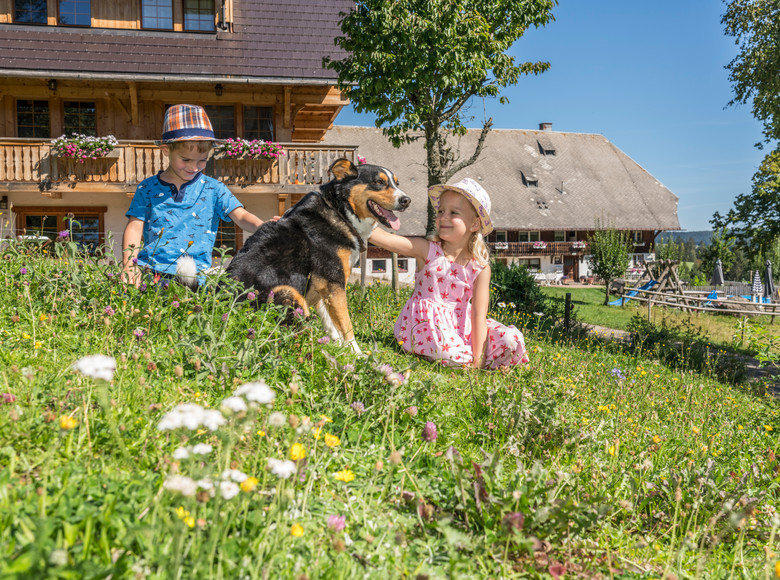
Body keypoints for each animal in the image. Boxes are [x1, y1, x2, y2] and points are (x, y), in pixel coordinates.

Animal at [203, 156, 408, 354]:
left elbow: (332, 324)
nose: (407, 200)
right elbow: (346, 326)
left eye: (397, 183)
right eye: (379, 182)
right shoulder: (334, 283)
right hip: (287, 293)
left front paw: (338, 349)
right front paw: (356, 355)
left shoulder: (322, 287)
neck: (340, 211)